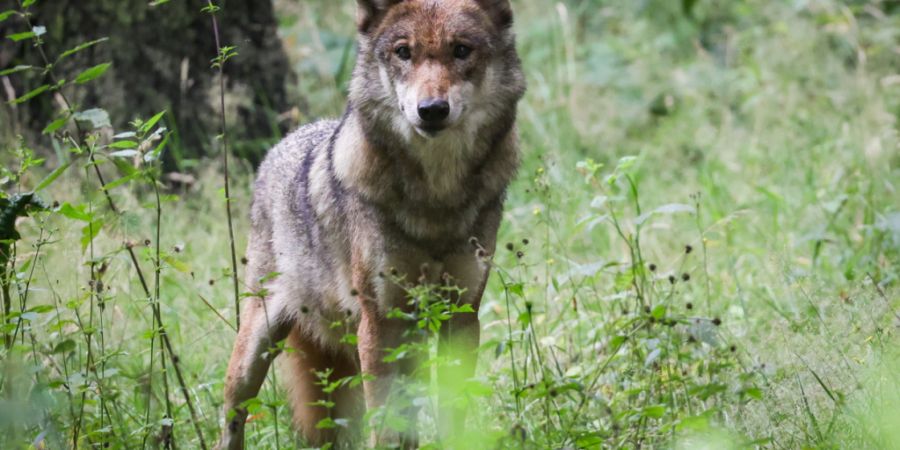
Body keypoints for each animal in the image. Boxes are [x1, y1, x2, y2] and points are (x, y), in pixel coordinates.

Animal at [217, 0, 525, 448]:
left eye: (462, 50)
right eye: (403, 52)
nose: (432, 110)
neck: (436, 200)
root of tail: (282, 143)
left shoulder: (461, 316)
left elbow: (453, 412)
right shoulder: (379, 323)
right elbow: (385, 424)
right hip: (257, 347)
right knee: (232, 413)